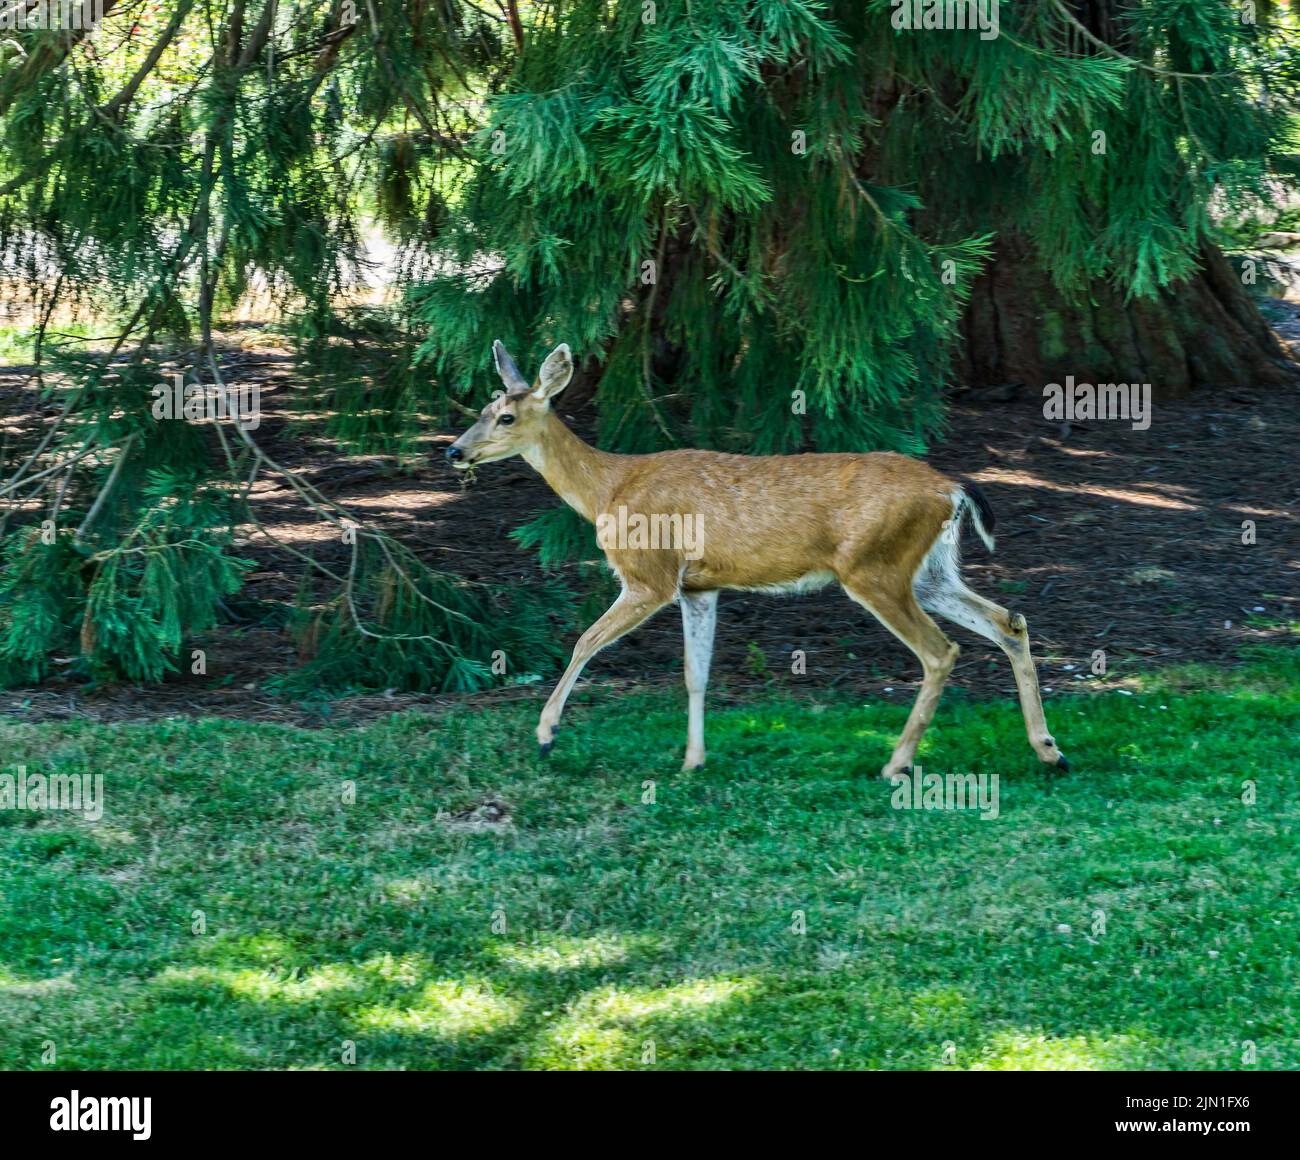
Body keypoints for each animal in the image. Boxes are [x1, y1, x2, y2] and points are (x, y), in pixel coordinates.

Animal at [447, 343, 1066, 780]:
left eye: (506, 418)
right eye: (481, 408)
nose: (455, 450)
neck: (608, 489)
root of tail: (951, 488)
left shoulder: (650, 575)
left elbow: (584, 641)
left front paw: (546, 733)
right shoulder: (698, 585)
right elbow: (695, 673)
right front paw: (692, 760)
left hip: (874, 567)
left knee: (941, 650)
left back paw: (896, 763)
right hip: (930, 570)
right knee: (1009, 620)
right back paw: (1049, 751)